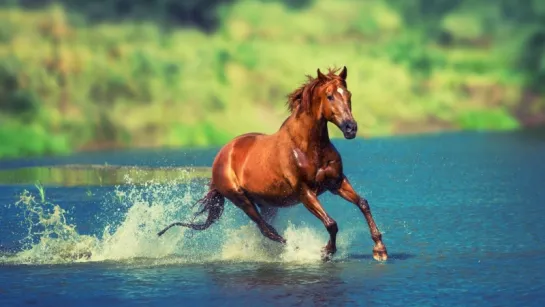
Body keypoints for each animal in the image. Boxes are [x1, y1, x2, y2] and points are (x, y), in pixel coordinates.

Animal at [157, 66, 386, 262]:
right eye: (330, 96)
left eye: (348, 95)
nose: (350, 128)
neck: (307, 147)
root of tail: (222, 155)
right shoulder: (305, 192)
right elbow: (331, 223)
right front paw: (326, 251)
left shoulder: (336, 182)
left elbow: (363, 203)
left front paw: (379, 250)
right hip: (241, 199)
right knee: (267, 230)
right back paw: (297, 250)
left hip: (266, 203)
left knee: (267, 229)